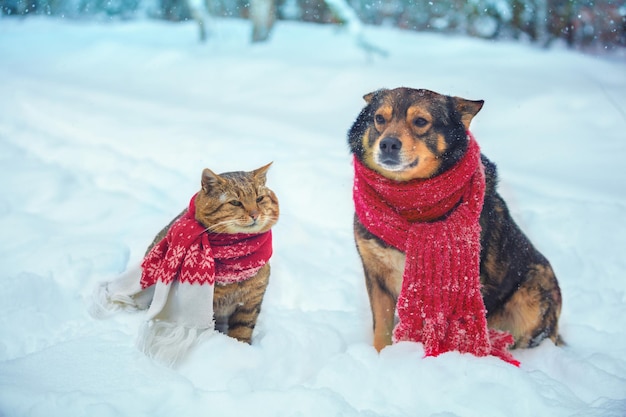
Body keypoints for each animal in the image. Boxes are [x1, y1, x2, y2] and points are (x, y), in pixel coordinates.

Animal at [346, 87, 560, 352]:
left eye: (420, 121)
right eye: (379, 119)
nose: (387, 143)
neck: (410, 206)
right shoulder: (376, 276)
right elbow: (381, 331)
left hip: (535, 290)